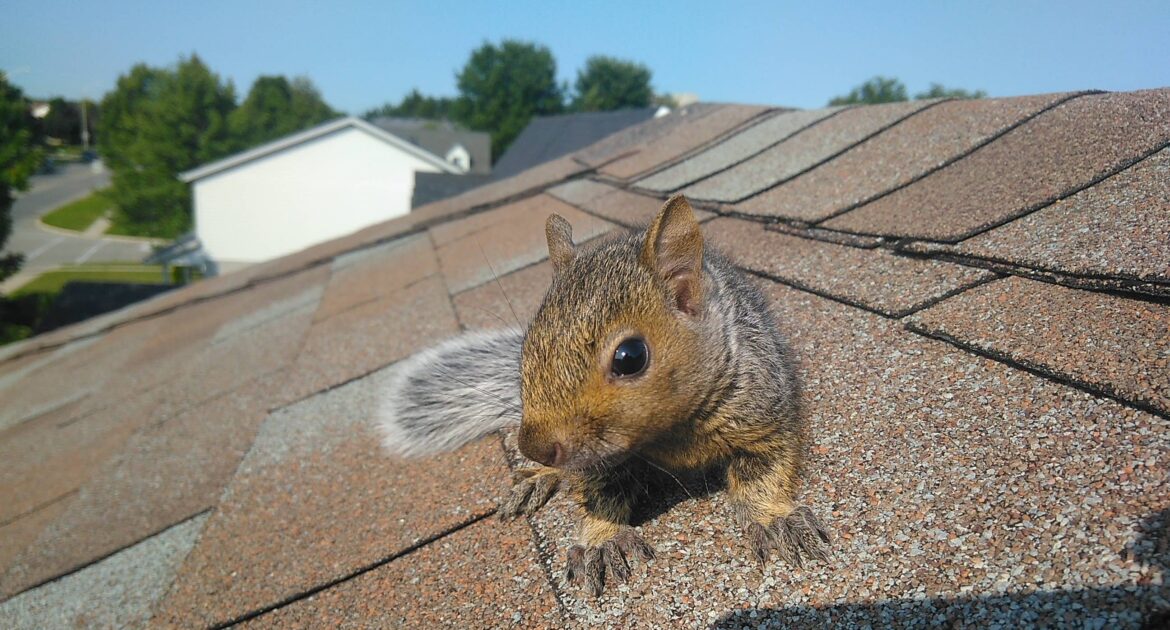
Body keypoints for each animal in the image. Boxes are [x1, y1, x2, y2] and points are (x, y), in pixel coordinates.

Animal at [379, 194, 828, 592]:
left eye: (630, 357)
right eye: (527, 347)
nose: (534, 447)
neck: (671, 431)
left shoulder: (763, 411)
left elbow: (763, 470)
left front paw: (774, 519)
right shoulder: (598, 460)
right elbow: (599, 493)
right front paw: (602, 540)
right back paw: (539, 478)